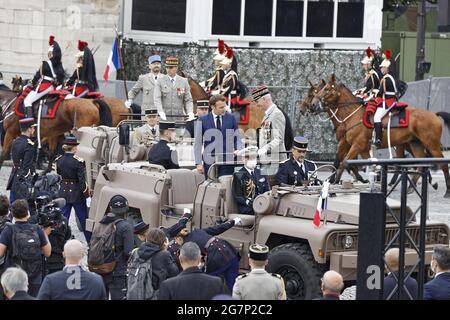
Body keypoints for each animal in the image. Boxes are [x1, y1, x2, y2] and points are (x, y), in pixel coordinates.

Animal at [312, 74, 450, 198]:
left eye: (327, 89)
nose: (313, 104)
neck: (352, 115)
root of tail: (434, 114)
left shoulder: (357, 145)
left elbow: (344, 163)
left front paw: (334, 185)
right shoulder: (349, 144)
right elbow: (339, 162)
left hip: (431, 145)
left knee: (442, 164)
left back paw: (446, 191)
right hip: (415, 144)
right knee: (420, 164)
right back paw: (411, 187)